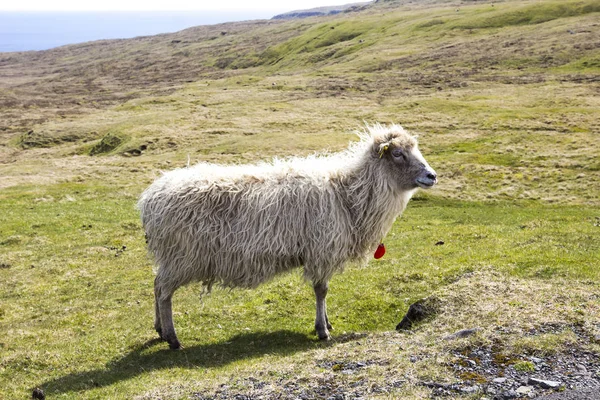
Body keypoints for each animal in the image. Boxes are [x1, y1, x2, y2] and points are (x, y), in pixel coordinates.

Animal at [141, 123, 440, 348]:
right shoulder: (321, 250)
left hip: (173, 257)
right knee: (164, 292)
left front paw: (327, 322)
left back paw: (159, 330)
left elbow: (323, 291)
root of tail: (150, 198)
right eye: (398, 154)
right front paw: (322, 330)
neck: (347, 193)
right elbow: (321, 290)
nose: (432, 176)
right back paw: (172, 338)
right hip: (182, 256)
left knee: (156, 284)